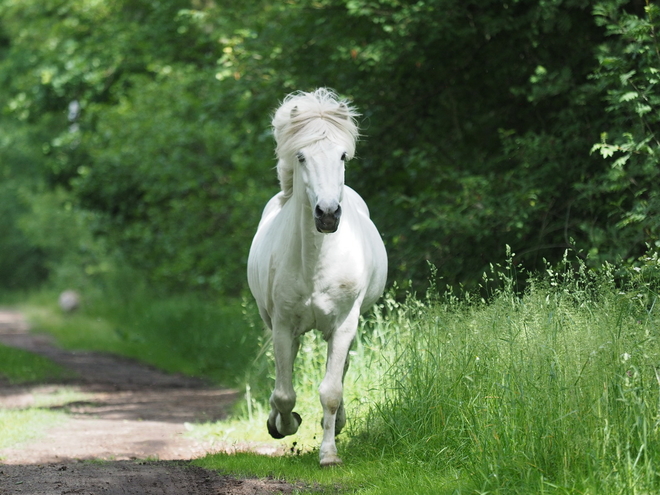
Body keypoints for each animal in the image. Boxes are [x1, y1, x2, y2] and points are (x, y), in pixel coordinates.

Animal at [250, 90, 390, 468]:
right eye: (301, 156)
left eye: (342, 155)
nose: (327, 214)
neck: (316, 261)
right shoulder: (283, 324)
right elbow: (284, 394)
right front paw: (283, 424)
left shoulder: (344, 324)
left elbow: (331, 391)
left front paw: (329, 454)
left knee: (339, 372)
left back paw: (338, 423)